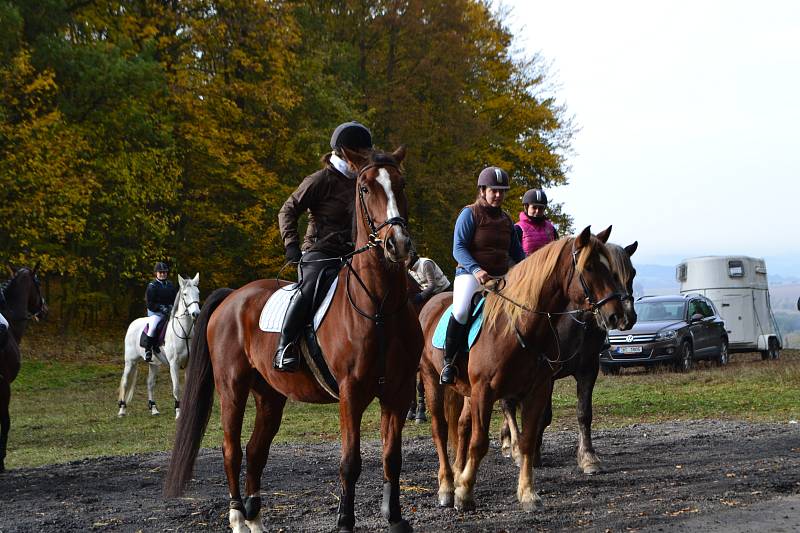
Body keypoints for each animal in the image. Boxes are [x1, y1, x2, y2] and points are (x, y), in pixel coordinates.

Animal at [118, 274, 200, 420]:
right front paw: (178, 412)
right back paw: (122, 410)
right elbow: (176, 388)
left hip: (153, 363)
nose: (196, 313)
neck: (184, 333)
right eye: (185, 294)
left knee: (150, 384)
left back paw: (154, 408)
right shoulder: (174, 364)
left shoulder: (189, 363)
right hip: (130, 362)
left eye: (198, 293)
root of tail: (133, 324)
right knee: (125, 382)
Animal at [164, 148, 424, 532]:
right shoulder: (351, 393)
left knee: (256, 450)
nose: (399, 244)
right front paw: (344, 521)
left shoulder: (399, 391)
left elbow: (393, 457)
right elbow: (350, 461)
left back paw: (255, 519)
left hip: (269, 394)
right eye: (364, 188)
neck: (379, 305)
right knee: (232, 449)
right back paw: (238, 517)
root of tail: (232, 297)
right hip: (232, 388)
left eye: (401, 184)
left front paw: (394, 518)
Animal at [500, 239, 636, 472]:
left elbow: (584, 413)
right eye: (612, 275)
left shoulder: (588, 369)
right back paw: (515, 448)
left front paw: (588, 458)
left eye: (633, 273)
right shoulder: (547, 374)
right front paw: (532, 452)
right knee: (508, 405)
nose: (626, 317)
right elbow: (543, 415)